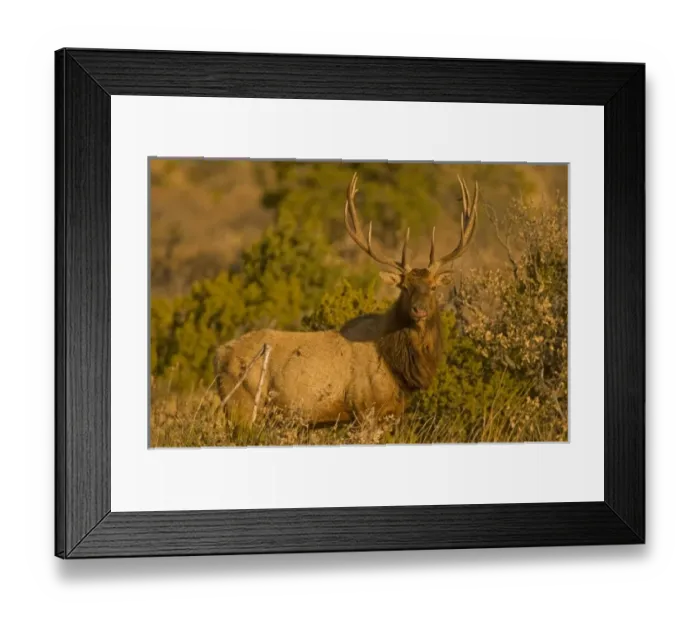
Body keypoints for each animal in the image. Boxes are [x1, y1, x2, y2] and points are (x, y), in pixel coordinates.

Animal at [214, 172, 479, 430]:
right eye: (404, 288)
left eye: (433, 287)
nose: (419, 310)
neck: (398, 367)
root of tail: (218, 355)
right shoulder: (365, 408)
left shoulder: (391, 413)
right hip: (242, 404)